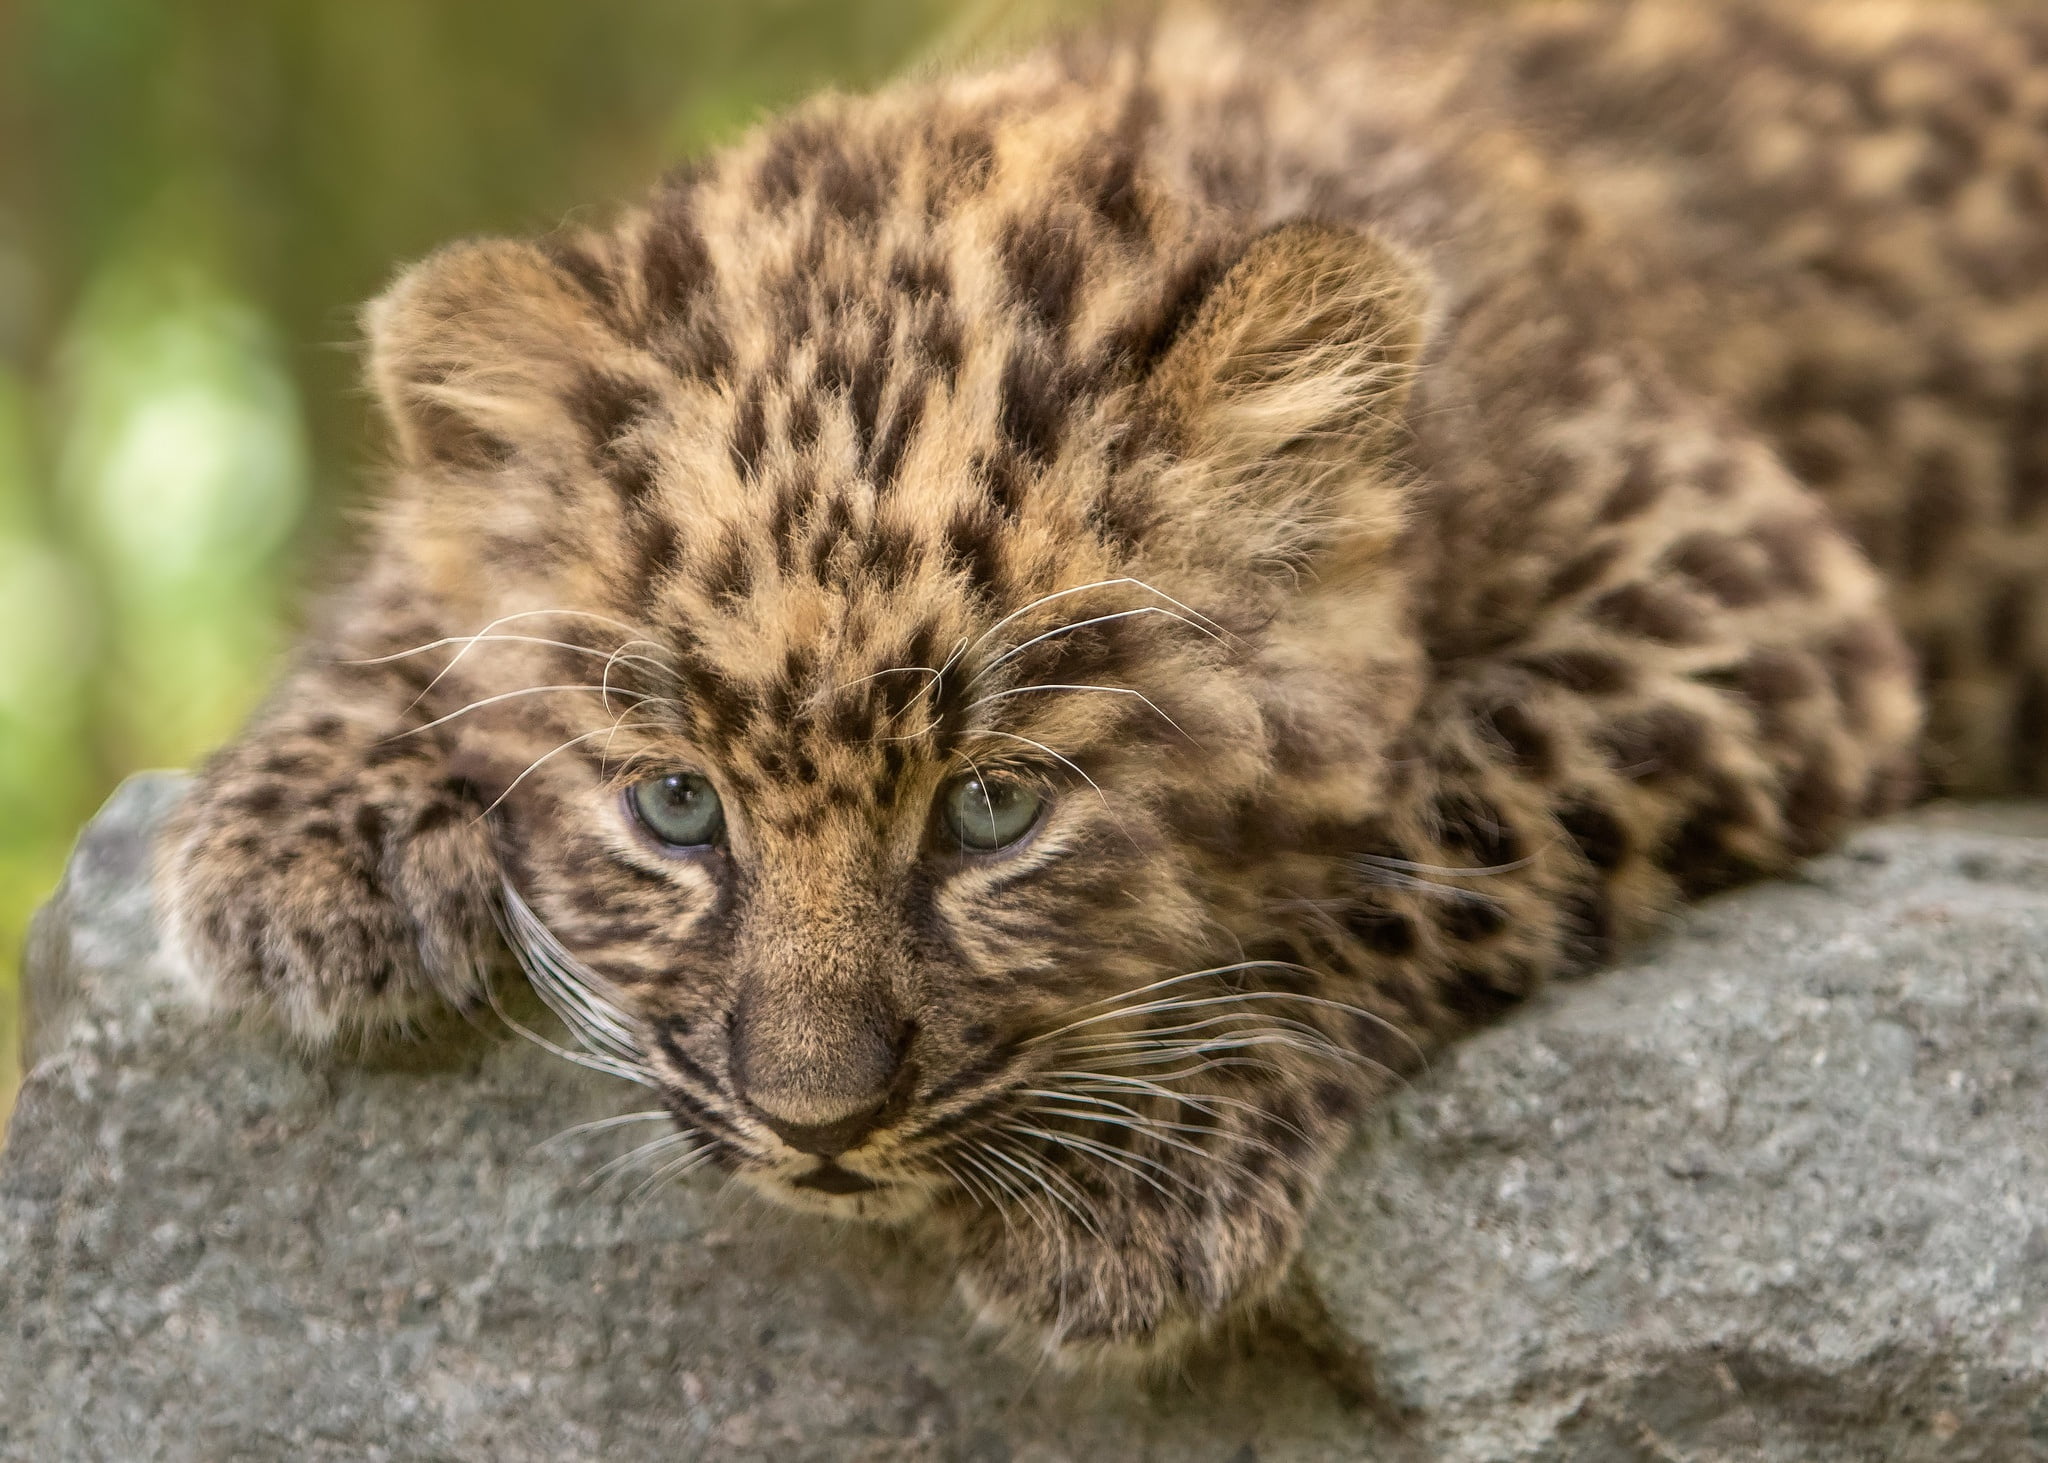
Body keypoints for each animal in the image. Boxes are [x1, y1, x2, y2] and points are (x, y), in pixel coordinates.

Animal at [156, 0, 2048, 1366]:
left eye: (996, 810)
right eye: (675, 807)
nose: (817, 1126)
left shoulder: (1740, 591)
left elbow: (1461, 806)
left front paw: (1124, 1171)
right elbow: (419, 568)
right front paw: (298, 845)